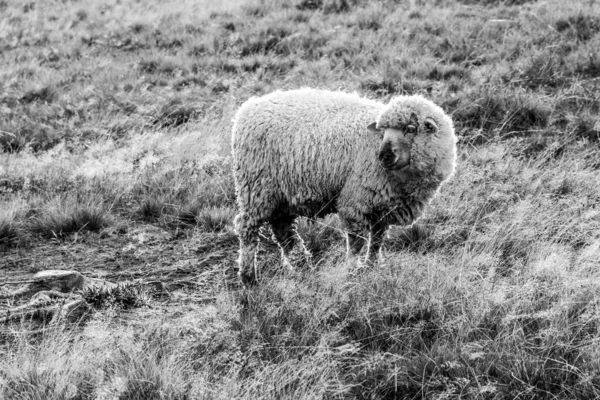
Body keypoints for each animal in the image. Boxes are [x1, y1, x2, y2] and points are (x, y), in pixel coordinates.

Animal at [232, 89, 458, 286]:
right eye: (382, 131)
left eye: (410, 129)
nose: (383, 156)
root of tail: (247, 108)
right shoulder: (355, 202)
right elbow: (357, 243)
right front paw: (352, 272)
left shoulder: (382, 207)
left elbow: (377, 240)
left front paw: (373, 267)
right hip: (256, 188)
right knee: (247, 229)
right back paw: (249, 278)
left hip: (281, 194)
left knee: (284, 231)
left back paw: (303, 268)